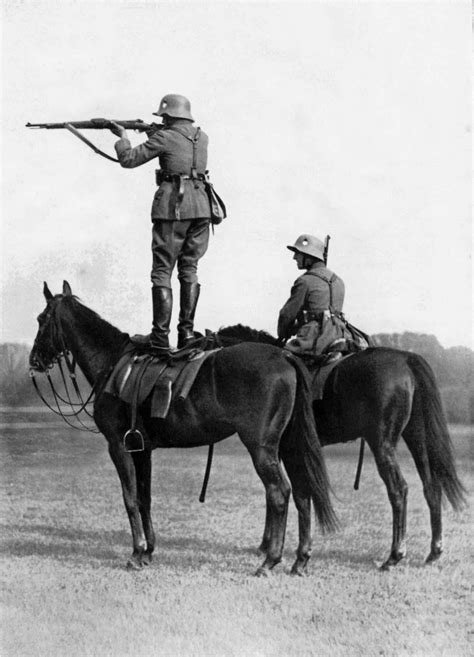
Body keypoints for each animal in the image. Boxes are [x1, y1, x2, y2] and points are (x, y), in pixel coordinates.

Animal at [28, 282, 336, 576]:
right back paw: (300, 560)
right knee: (302, 492)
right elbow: (144, 499)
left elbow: (130, 499)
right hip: (288, 446)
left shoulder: (117, 447)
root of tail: (285, 357)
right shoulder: (141, 450)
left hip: (262, 448)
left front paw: (136, 553)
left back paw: (269, 561)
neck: (113, 364)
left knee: (279, 492)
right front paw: (148, 552)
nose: (34, 361)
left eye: (42, 319)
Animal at [212, 324, 466, 568]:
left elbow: (283, 492)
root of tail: (406, 359)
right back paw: (434, 552)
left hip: (382, 444)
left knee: (398, 489)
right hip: (417, 439)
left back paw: (394, 556)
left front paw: (270, 547)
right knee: (431, 485)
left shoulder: (278, 450)